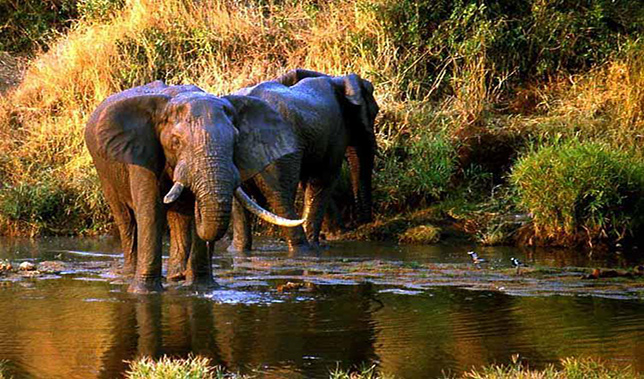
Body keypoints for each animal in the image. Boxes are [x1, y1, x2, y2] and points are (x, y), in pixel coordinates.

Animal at [85, 80, 304, 294]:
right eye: (176, 141)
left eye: (235, 141)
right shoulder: (142, 155)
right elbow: (150, 211)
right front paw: (143, 292)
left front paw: (201, 288)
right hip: (104, 171)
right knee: (126, 219)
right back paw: (130, 274)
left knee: (178, 219)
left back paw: (176, 277)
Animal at [229, 70, 378, 254]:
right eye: (374, 113)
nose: (362, 224)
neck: (337, 79)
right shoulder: (336, 132)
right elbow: (323, 179)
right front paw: (325, 240)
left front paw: (334, 236)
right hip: (275, 151)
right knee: (282, 199)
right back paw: (303, 250)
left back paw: (238, 251)